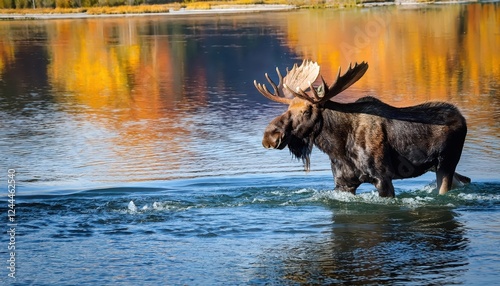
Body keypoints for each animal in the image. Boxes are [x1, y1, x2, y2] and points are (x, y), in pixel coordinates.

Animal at [254, 60, 468, 198]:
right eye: (287, 109)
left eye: (307, 111)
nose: (270, 136)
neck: (338, 148)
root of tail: (462, 118)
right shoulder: (343, 183)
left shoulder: (383, 178)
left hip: (446, 162)